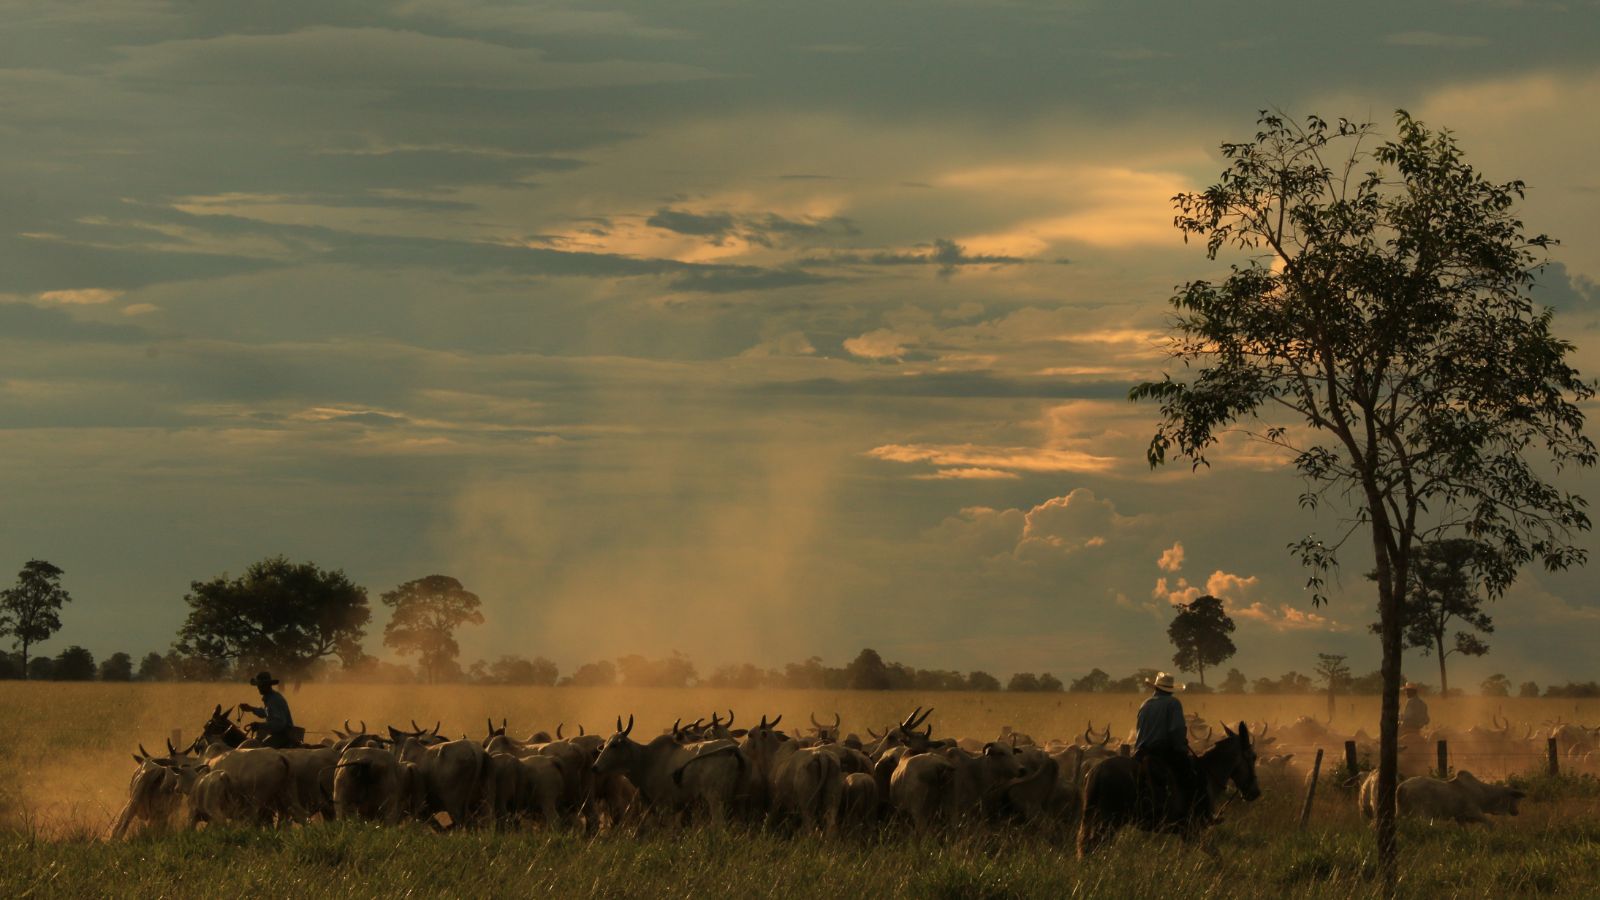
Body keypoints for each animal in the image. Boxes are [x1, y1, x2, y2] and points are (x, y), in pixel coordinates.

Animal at [1075, 714, 1260, 851]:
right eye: (1253, 756)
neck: (1207, 774)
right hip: (1110, 820)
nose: (1255, 792)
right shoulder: (1193, 829)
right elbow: (1215, 855)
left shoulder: (1186, 833)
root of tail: (1097, 770)